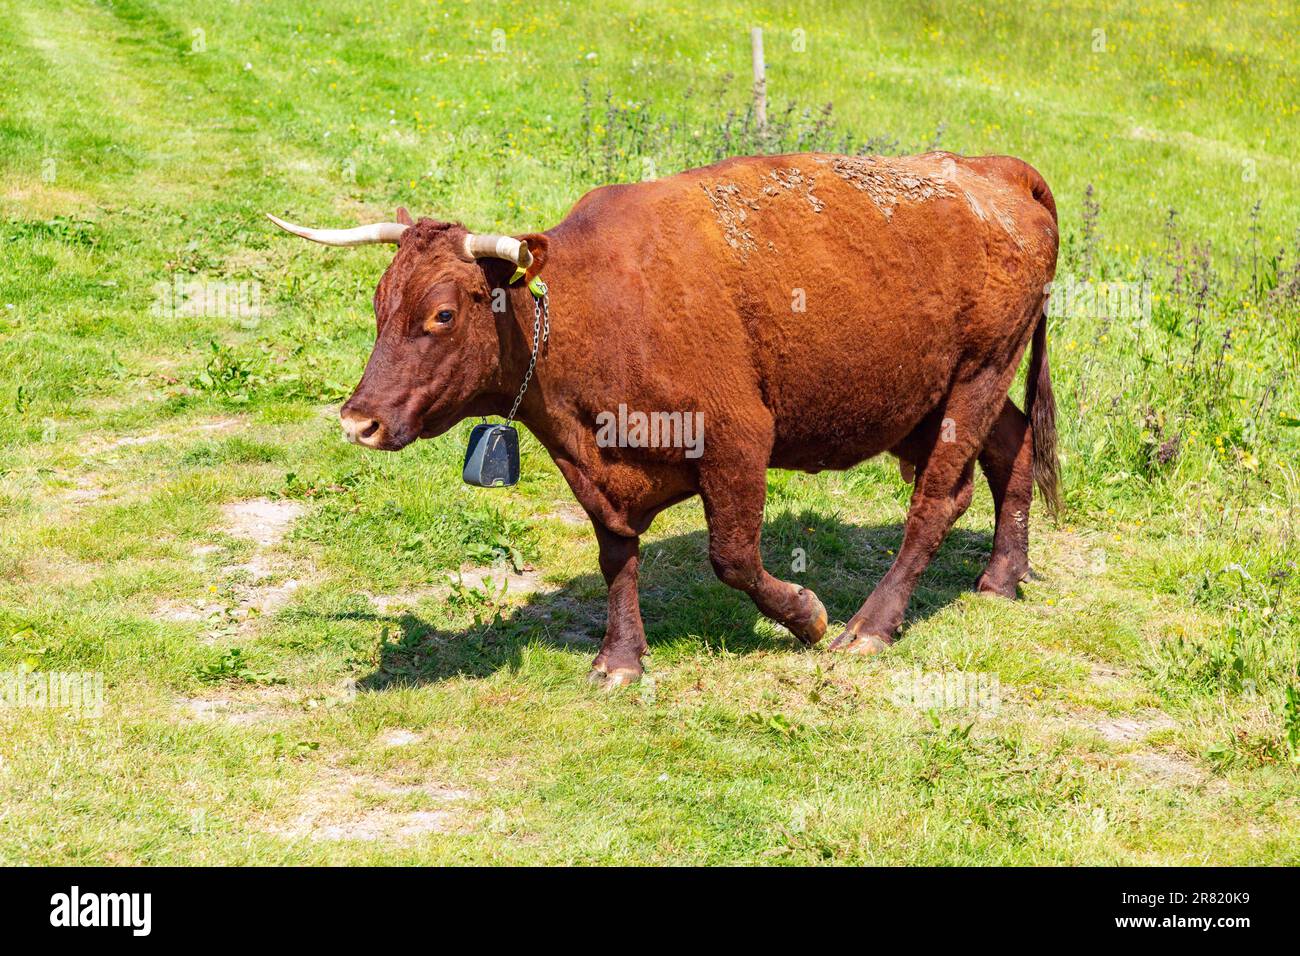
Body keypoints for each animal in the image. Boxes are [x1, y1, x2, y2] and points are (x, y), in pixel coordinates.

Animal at [268, 150, 1061, 687]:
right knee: (1014, 448)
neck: (593, 306)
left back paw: (869, 627)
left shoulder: (739, 436)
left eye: (440, 314)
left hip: (977, 377)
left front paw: (806, 614)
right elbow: (617, 555)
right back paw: (1002, 575)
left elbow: (733, 557)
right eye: (379, 304)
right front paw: (620, 659)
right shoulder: (592, 468)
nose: (358, 422)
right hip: (949, 391)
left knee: (937, 500)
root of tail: (992, 168)